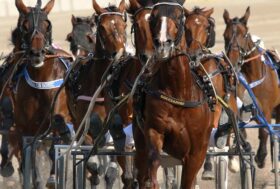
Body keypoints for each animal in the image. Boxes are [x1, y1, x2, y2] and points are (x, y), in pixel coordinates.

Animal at [5, 0, 73, 188]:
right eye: (25, 25)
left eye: (47, 25)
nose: (37, 53)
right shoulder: (25, 127)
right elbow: (30, 153)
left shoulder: (60, 106)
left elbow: (57, 127)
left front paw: (52, 177)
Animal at [131, 1, 217, 188]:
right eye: (153, 17)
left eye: (179, 16)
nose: (163, 43)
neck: (178, 92)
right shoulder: (154, 130)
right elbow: (153, 162)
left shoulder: (196, 152)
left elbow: (188, 179)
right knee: (141, 169)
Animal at [224, 6, 280, 168]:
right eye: (225, 35)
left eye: (244, 35)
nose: (232, 62)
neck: (253, 78)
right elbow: (235, 124)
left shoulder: (266, 109)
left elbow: (264, 131)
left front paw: (261, 156)